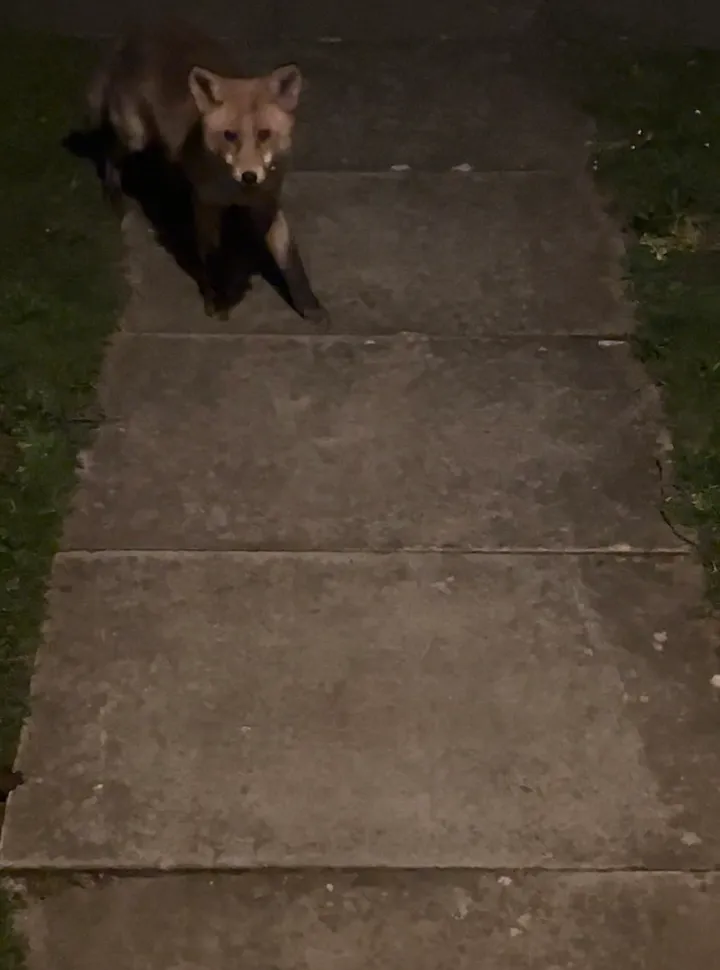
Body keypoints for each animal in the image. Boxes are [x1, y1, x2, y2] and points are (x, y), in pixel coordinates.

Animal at [86, 18, 327, 324]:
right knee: (109, 151)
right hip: (134, 137)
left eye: (264, 134)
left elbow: (289, 259)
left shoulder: (267, 202)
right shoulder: (206, 205)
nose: (249, 176)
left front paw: (309, 304)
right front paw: (217, 300)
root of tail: (141, 30)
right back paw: (114, 193)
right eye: (230, 136)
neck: (236, 192)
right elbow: (212, 259)